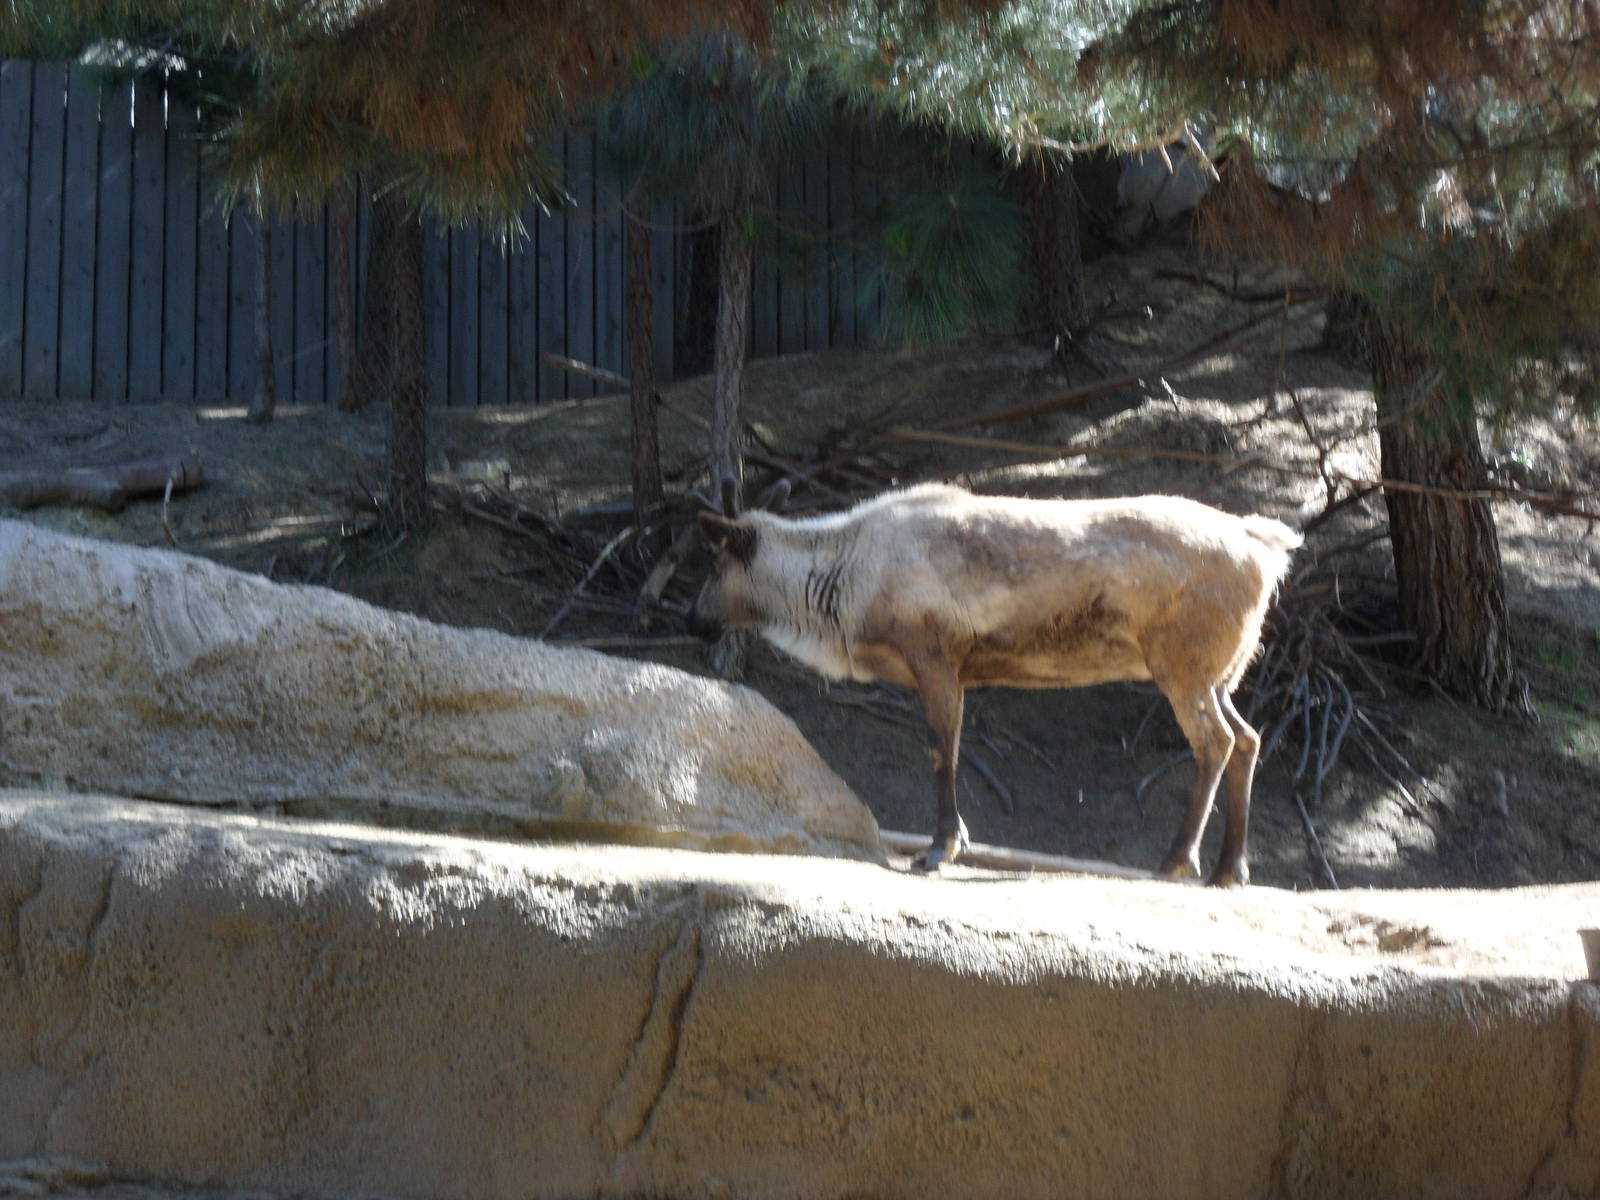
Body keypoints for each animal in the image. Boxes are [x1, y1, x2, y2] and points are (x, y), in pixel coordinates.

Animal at [686, 477, 1302, 887]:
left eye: (716, 565)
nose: (692, 620)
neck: (844, 588)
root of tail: (1268, 547)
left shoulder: (934, 654)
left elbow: (942, 750)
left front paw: (940, 847)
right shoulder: (953, 668)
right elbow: (951, 748)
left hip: (1182, 664)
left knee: (1216, 742)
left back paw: (1178, 860)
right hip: (1222, 672)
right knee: (1248, 739)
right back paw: (1230, 868)